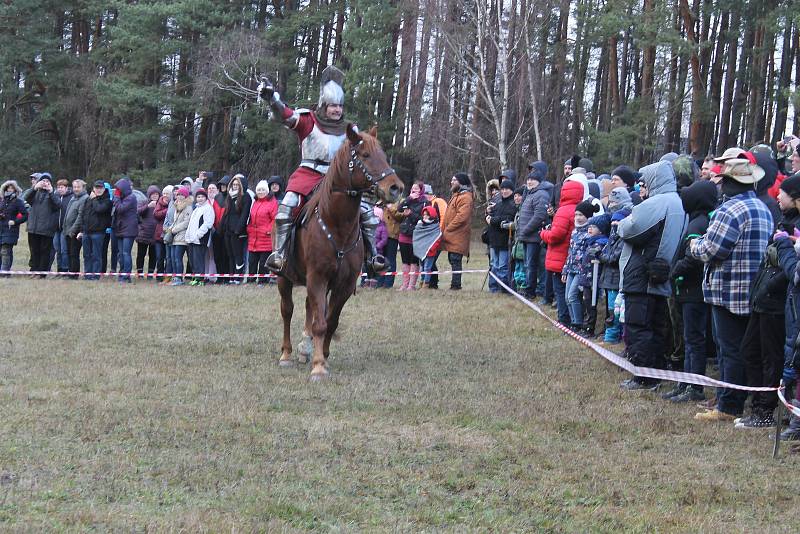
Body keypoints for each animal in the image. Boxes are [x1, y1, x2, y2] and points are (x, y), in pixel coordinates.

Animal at [278, 124, 406, 382]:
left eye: (383, 155)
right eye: (365, 155)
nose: (396, 188)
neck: (336, 224)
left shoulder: (343, 283)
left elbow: (331, 321)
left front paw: (323, 357)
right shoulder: (317, 277)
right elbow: (320, 323)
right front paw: (318, 367)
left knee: (309, 307)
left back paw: (304, 349)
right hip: (284, 276)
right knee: (287, 310)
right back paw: (286, 354)